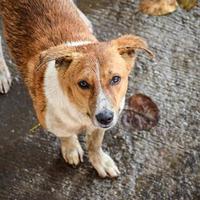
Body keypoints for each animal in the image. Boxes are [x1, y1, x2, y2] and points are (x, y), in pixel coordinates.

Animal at [0, 0, 153, 178]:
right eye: (83, 84)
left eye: (115, 79)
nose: (105, 118)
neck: (78, 110)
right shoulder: (52, 122)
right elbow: (66, 135)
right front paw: (71, 148)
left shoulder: (105, 120)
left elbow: (95, 142)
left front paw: (99, 160)